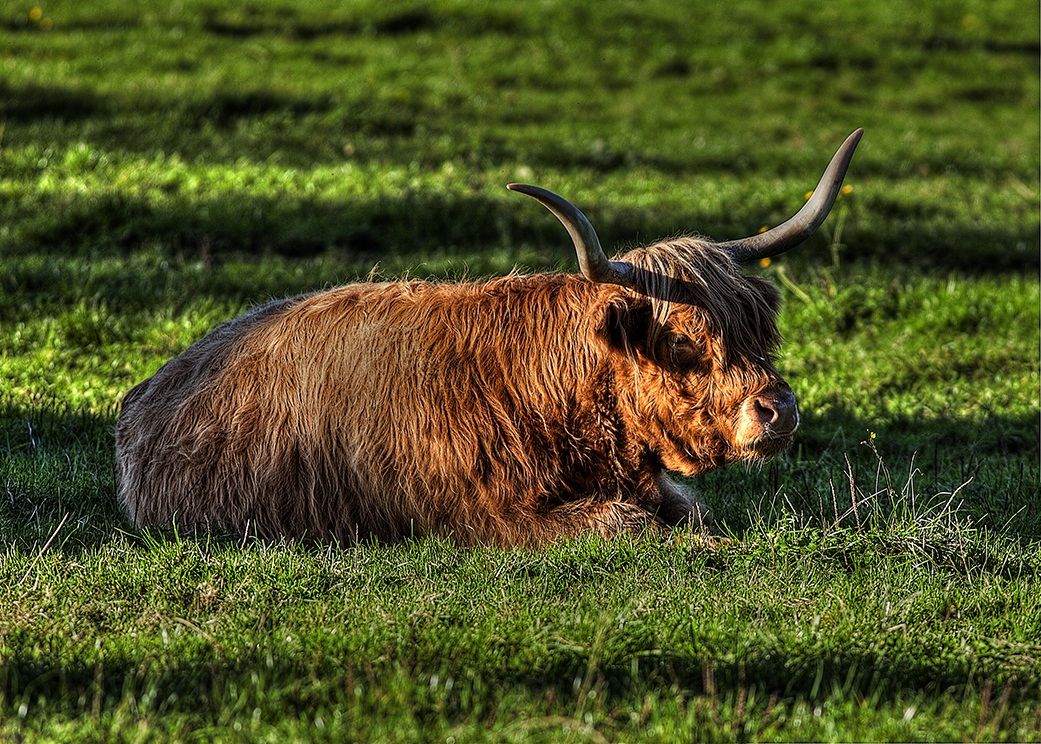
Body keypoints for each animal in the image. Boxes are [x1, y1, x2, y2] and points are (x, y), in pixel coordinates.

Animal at [115, 130, 863, 547]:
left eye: (758, 326)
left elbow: (693, 513)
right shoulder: (478, 514)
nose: (778, 410)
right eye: (682, 339)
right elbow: (626, 524)